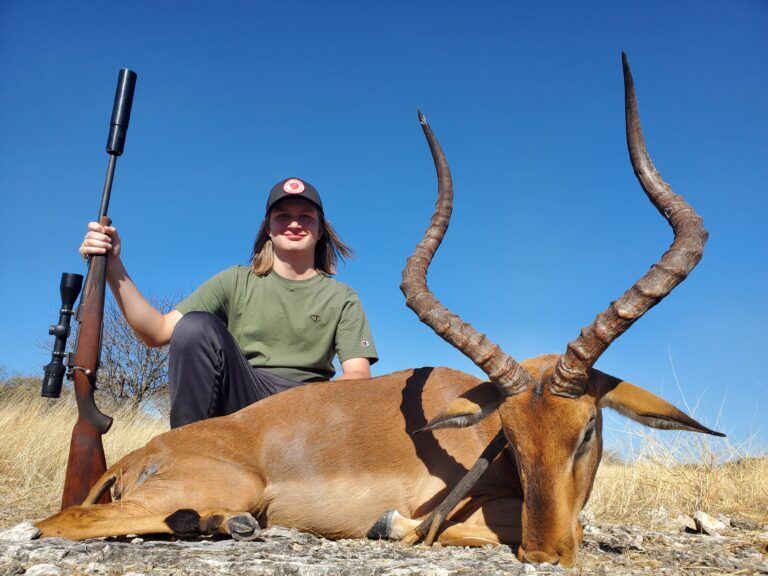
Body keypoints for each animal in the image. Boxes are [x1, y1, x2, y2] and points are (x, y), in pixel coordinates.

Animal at [36, 54, 722, 567]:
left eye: (586, 432)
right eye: (510, 438)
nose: (543, 554)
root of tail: (138, 456)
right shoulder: (446, 510)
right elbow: (424, 527)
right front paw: (394, 527)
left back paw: (221, 526)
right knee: (57, 520)